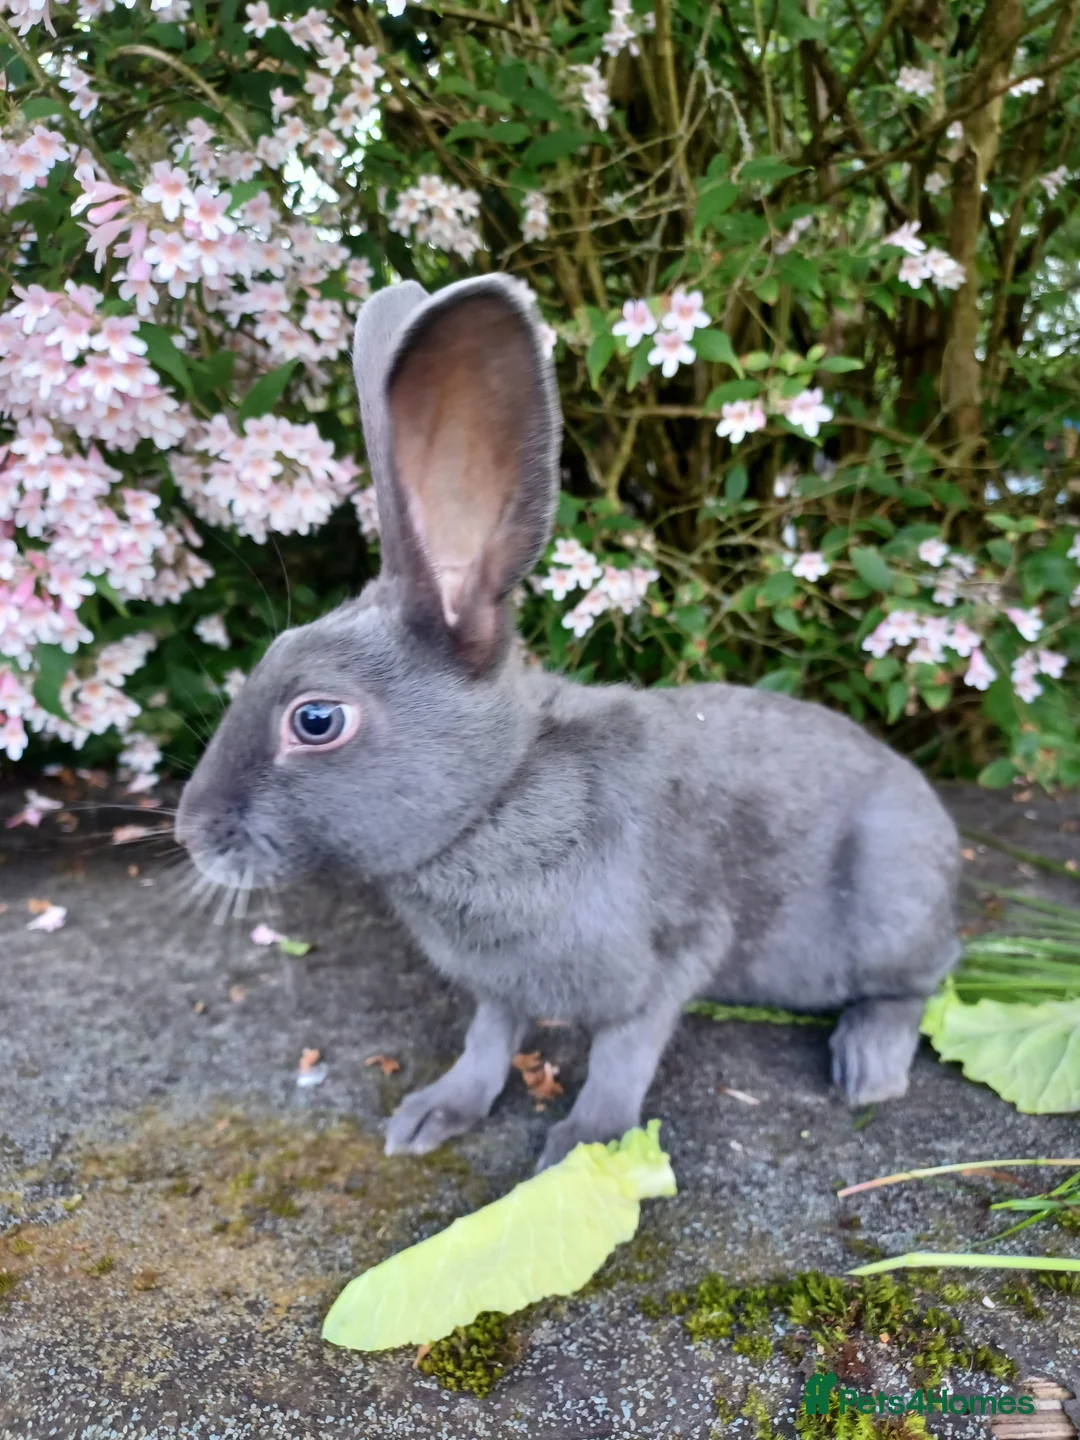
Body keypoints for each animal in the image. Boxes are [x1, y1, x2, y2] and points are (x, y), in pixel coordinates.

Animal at [175, 274, 961, 1173]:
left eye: (315, 719)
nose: (190, 831)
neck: (500, 795)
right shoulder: (500, 986)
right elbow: (487, 1040)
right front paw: (431, 1116)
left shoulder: (665, 959)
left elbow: (624, 1056)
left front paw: (583, 1150)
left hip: (891, 901)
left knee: (920, 980)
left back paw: (868, 1066)